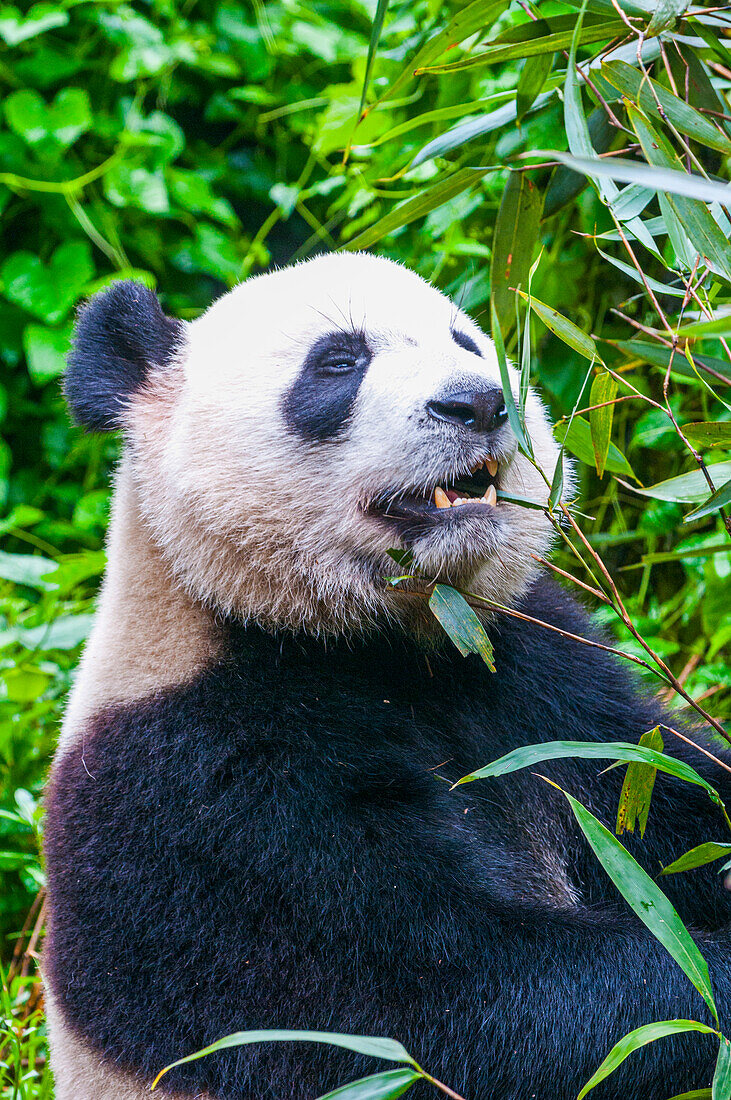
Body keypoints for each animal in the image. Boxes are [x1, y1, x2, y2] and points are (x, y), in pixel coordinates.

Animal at [44, 251, 729, 1100]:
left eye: (467, 341)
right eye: (338, 362)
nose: (477, 403)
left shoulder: (536, 674)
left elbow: (665, 796)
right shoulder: (208, 788)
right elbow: (435, 1008)